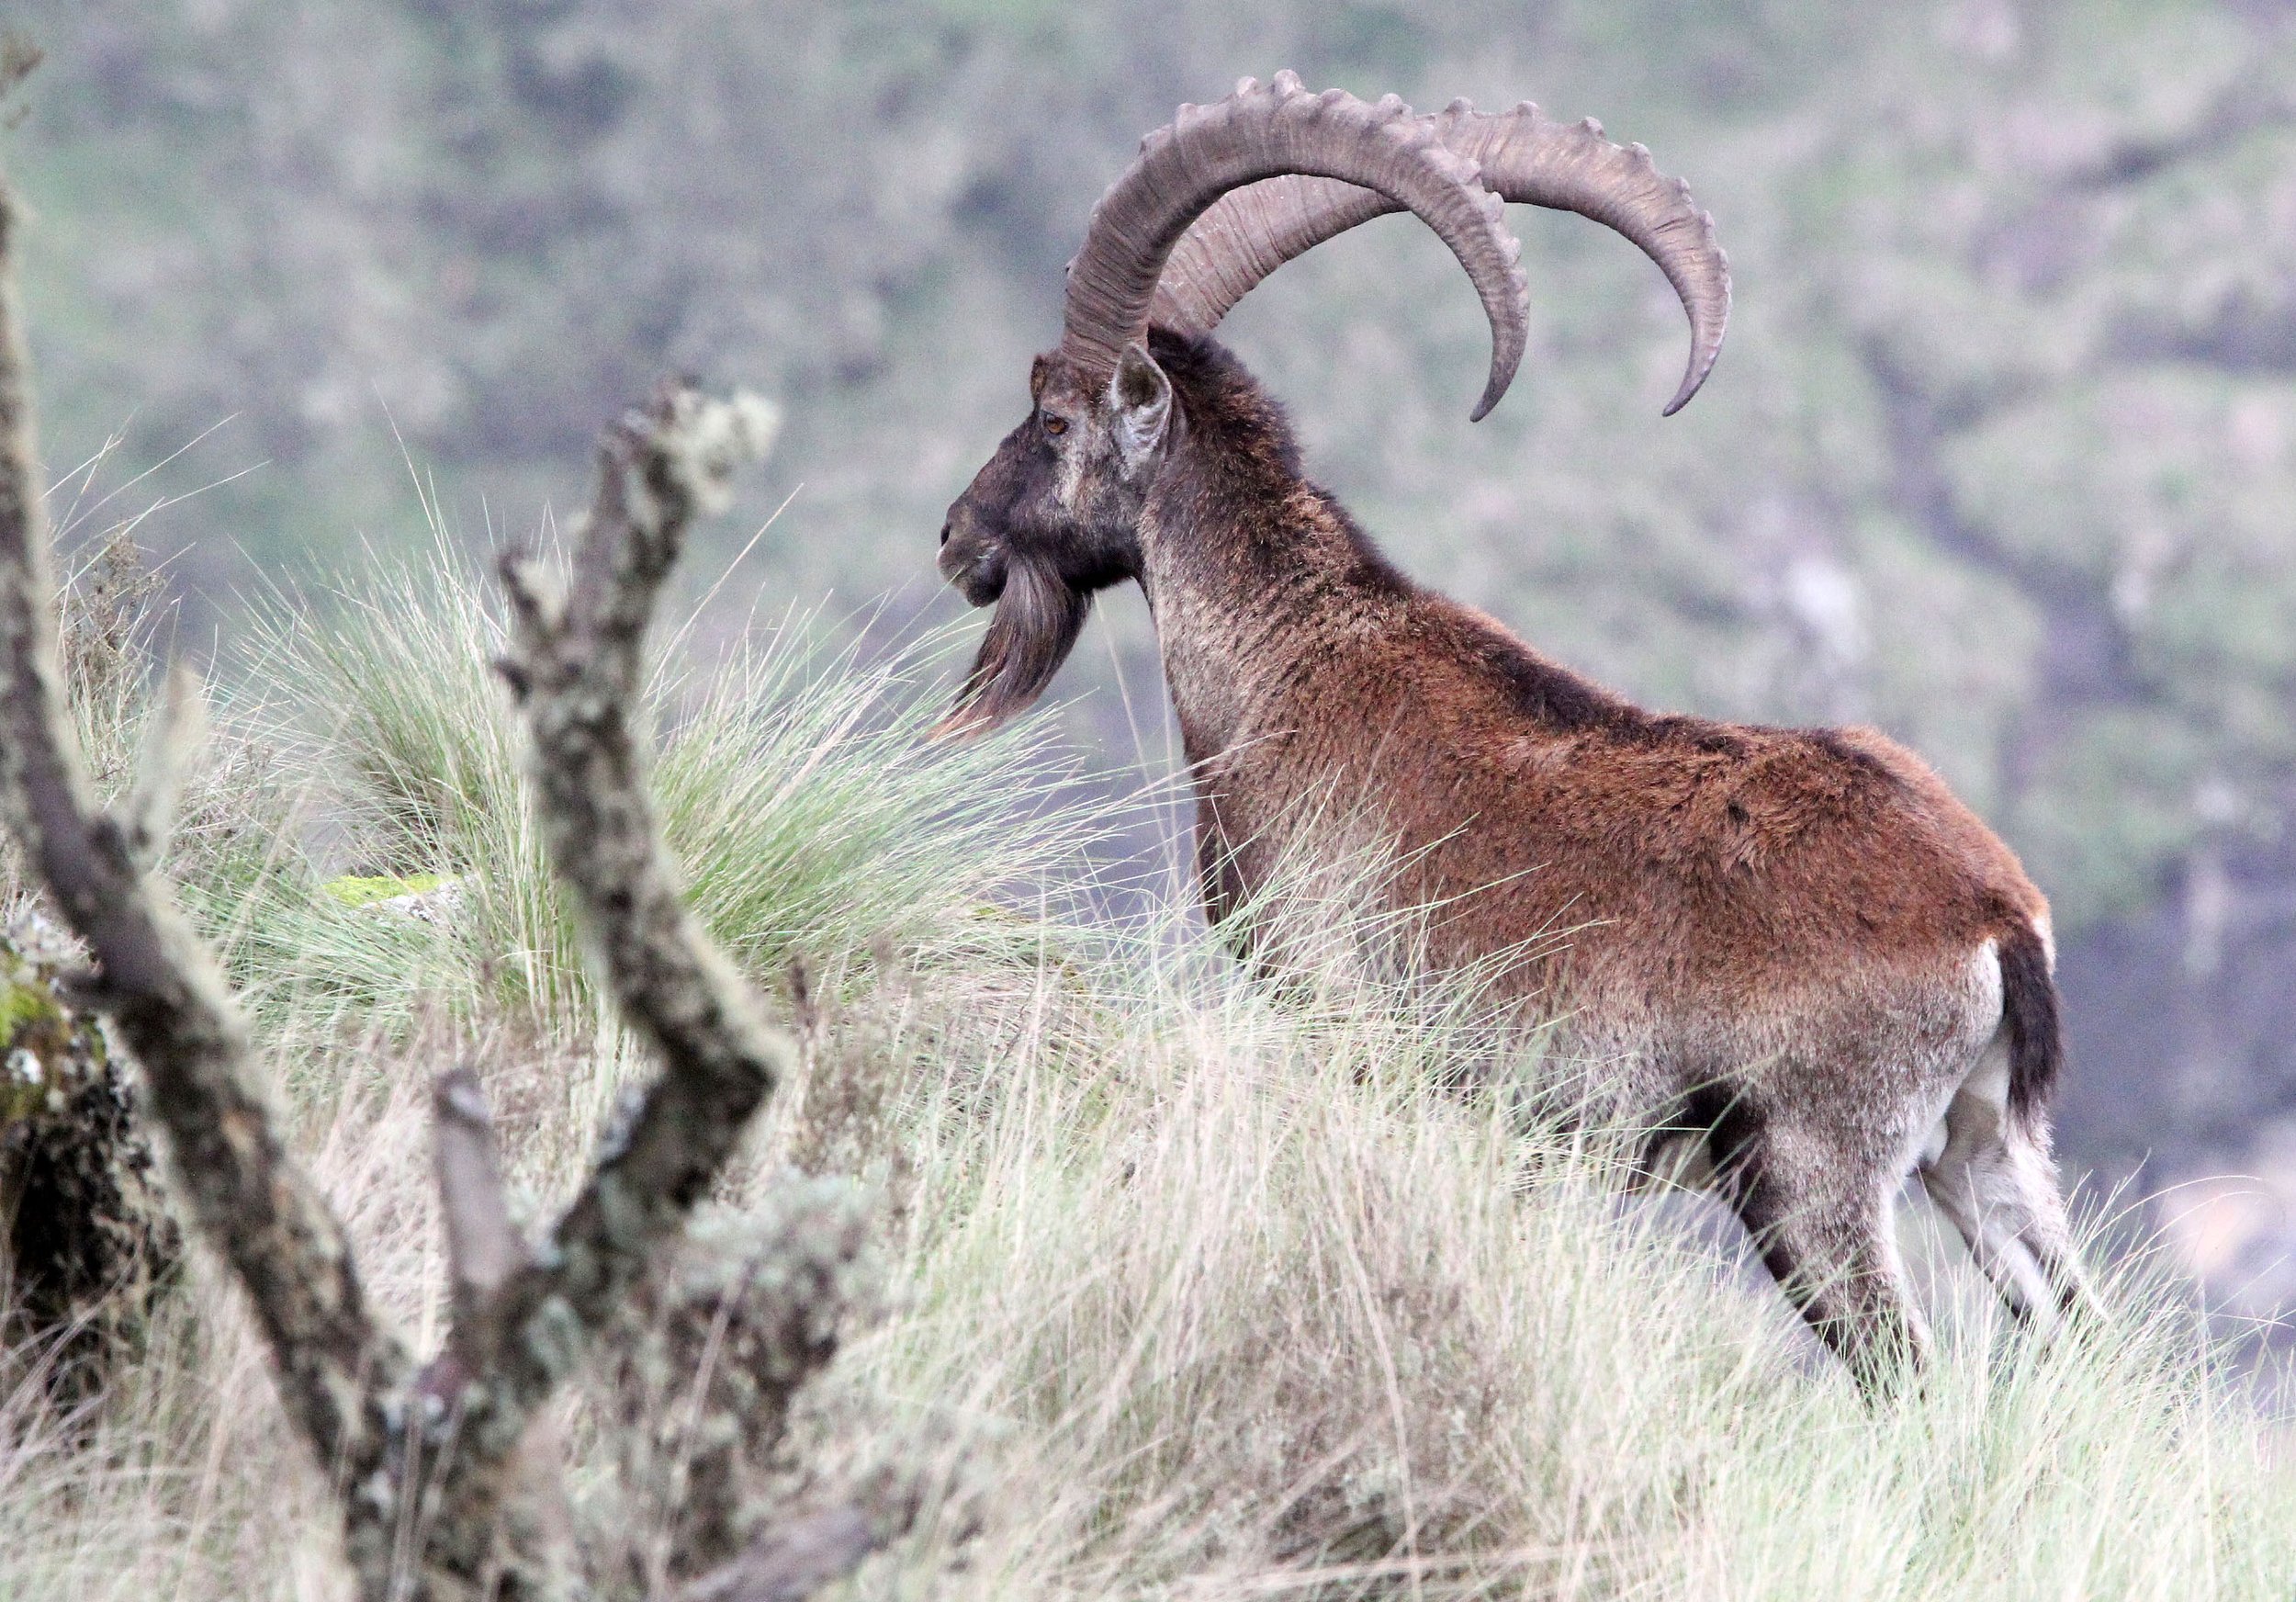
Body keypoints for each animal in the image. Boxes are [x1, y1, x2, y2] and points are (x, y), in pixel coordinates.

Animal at [935, 73, 2091, 1388]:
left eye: (1054, 417)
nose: (957, 539)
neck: (1289, 662)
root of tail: (1995, 918)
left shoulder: (1345, 1028)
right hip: (1986, 1156)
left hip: (1811, 1172)